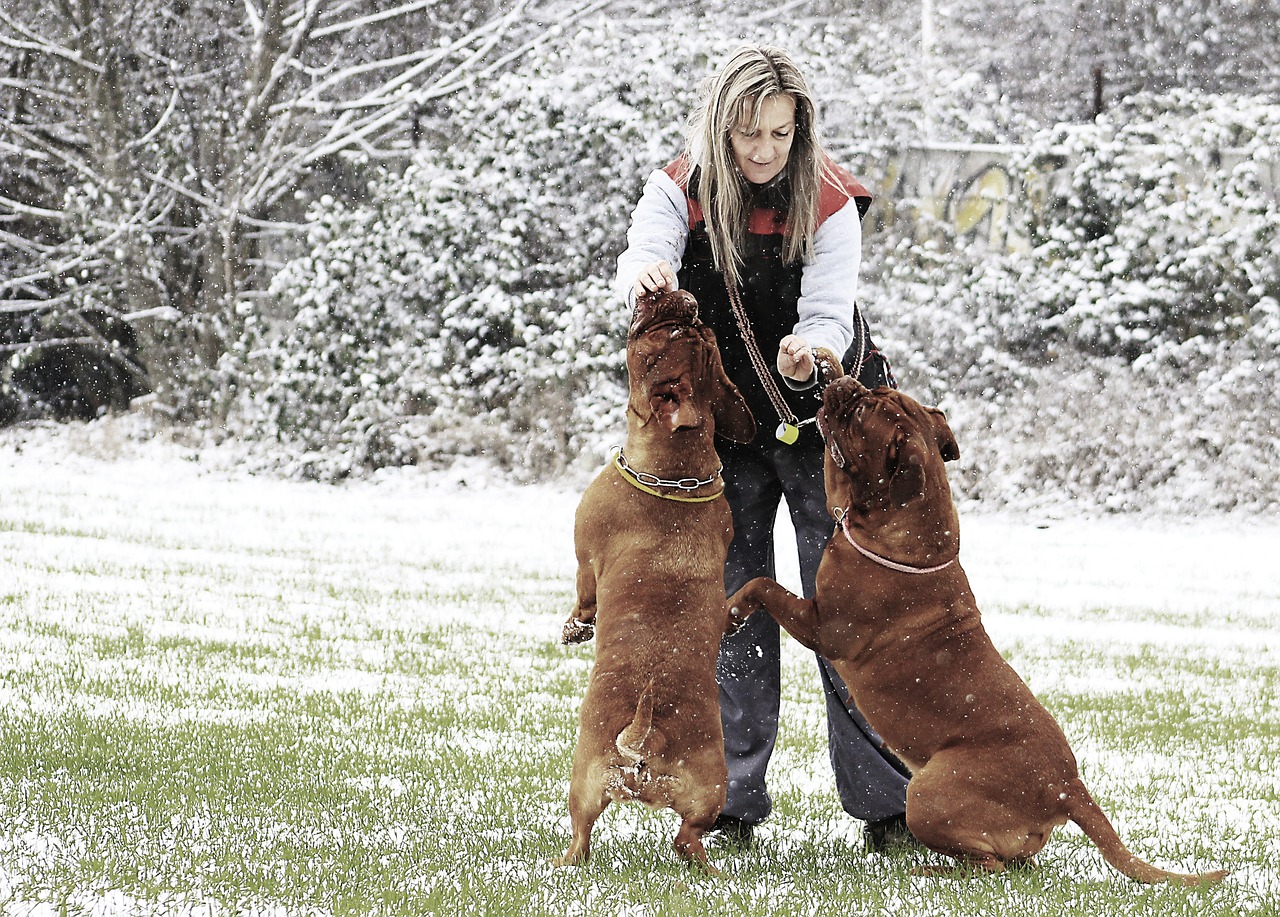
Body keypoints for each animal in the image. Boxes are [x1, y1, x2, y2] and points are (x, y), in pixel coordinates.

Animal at [555, 290, 752, 870]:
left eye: (661, 335)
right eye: (699, 332)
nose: (678, 297)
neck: (674, 475)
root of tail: (646, 741)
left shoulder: (584, 553)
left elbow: (584, 594)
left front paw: (576, 628)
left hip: (584, 783)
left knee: (583, 835)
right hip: (708, 791)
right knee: (687, 836)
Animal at [727, 376, 1223, 886]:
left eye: (865, 411)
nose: (845, 380)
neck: (905, 527)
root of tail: (1067, 787)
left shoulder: (825, 627)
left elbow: (763, 585)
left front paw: (731, 612)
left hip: (928, 793)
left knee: (986, 867)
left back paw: (929, 870)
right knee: (1013, 863)